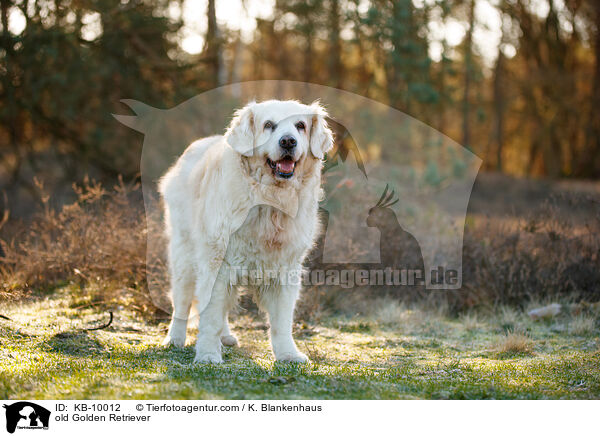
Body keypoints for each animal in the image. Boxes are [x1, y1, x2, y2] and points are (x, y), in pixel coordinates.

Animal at [159, 100, 332, 362]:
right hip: (184, 258)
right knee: (182, 302)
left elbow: (282, 321)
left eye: (300, 125)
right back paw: (174, 339)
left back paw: (226, 337)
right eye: (269, 125)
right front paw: (208, 355)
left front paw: (288, 354)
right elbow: (210, 316)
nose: (288, 141)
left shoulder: (286, 269)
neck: (269, 200)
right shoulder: (216, 263)